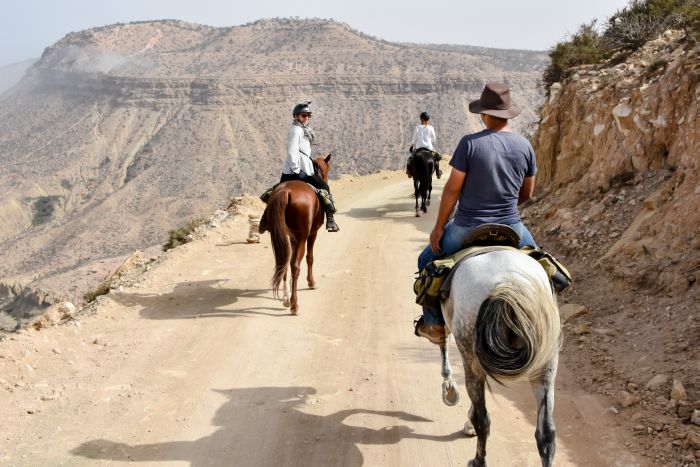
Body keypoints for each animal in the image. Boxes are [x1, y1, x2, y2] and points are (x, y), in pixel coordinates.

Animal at [258, 156, 332, 314]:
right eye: (325, 170)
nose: (326, 178)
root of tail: (285, 191)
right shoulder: (312, 234)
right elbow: (310, 257)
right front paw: (311, 282)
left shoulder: (292, 238)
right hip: (302, 237)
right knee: (295, 266)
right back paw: (294, 304)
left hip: (280, 235)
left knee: (283, 262)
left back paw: (286, 299)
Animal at [438, 250, 556, 467]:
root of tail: (510, 283)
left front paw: (449, 387)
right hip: (547, 357)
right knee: (547, 433)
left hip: (469, 346)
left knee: (483, 418)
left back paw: (478, 460)